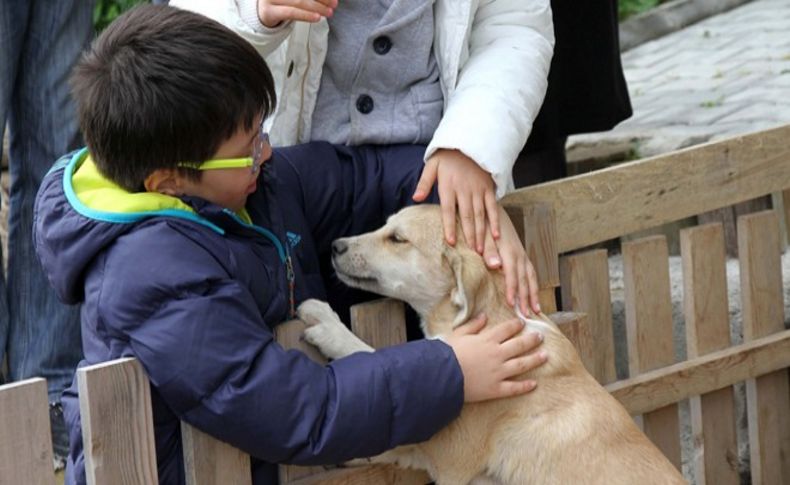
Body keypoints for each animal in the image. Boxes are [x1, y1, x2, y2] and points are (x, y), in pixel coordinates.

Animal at [296, 203, 688, 484]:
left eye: (398, 239)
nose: (335, 246)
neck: (495, 317)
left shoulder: (449, 447)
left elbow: (380, 363)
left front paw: (329, 328)